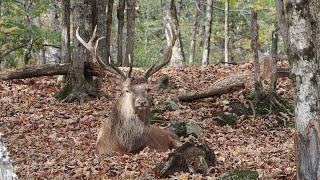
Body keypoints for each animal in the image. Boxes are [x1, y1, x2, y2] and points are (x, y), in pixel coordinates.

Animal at [76, 25, 182, 155]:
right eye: (127, 90)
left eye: (148, 89)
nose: (142, 102)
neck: (127, 146)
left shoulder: (155, 146)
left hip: (175, 140)